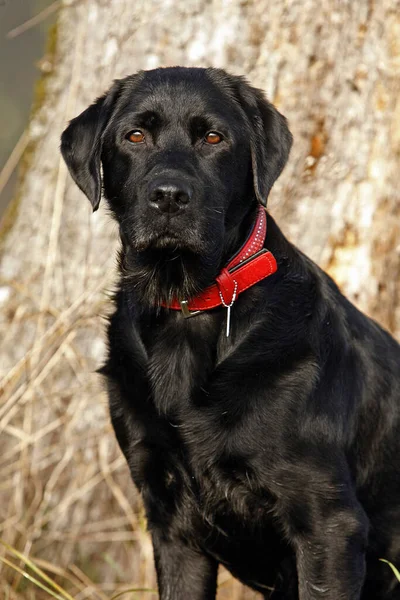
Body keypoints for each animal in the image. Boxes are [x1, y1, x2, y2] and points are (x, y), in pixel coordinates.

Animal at [60, 68, 400, 596]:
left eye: (214, 138)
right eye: (134, 136)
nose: (169, 196)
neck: (187, 309)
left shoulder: (330, 525)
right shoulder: (171, 525)